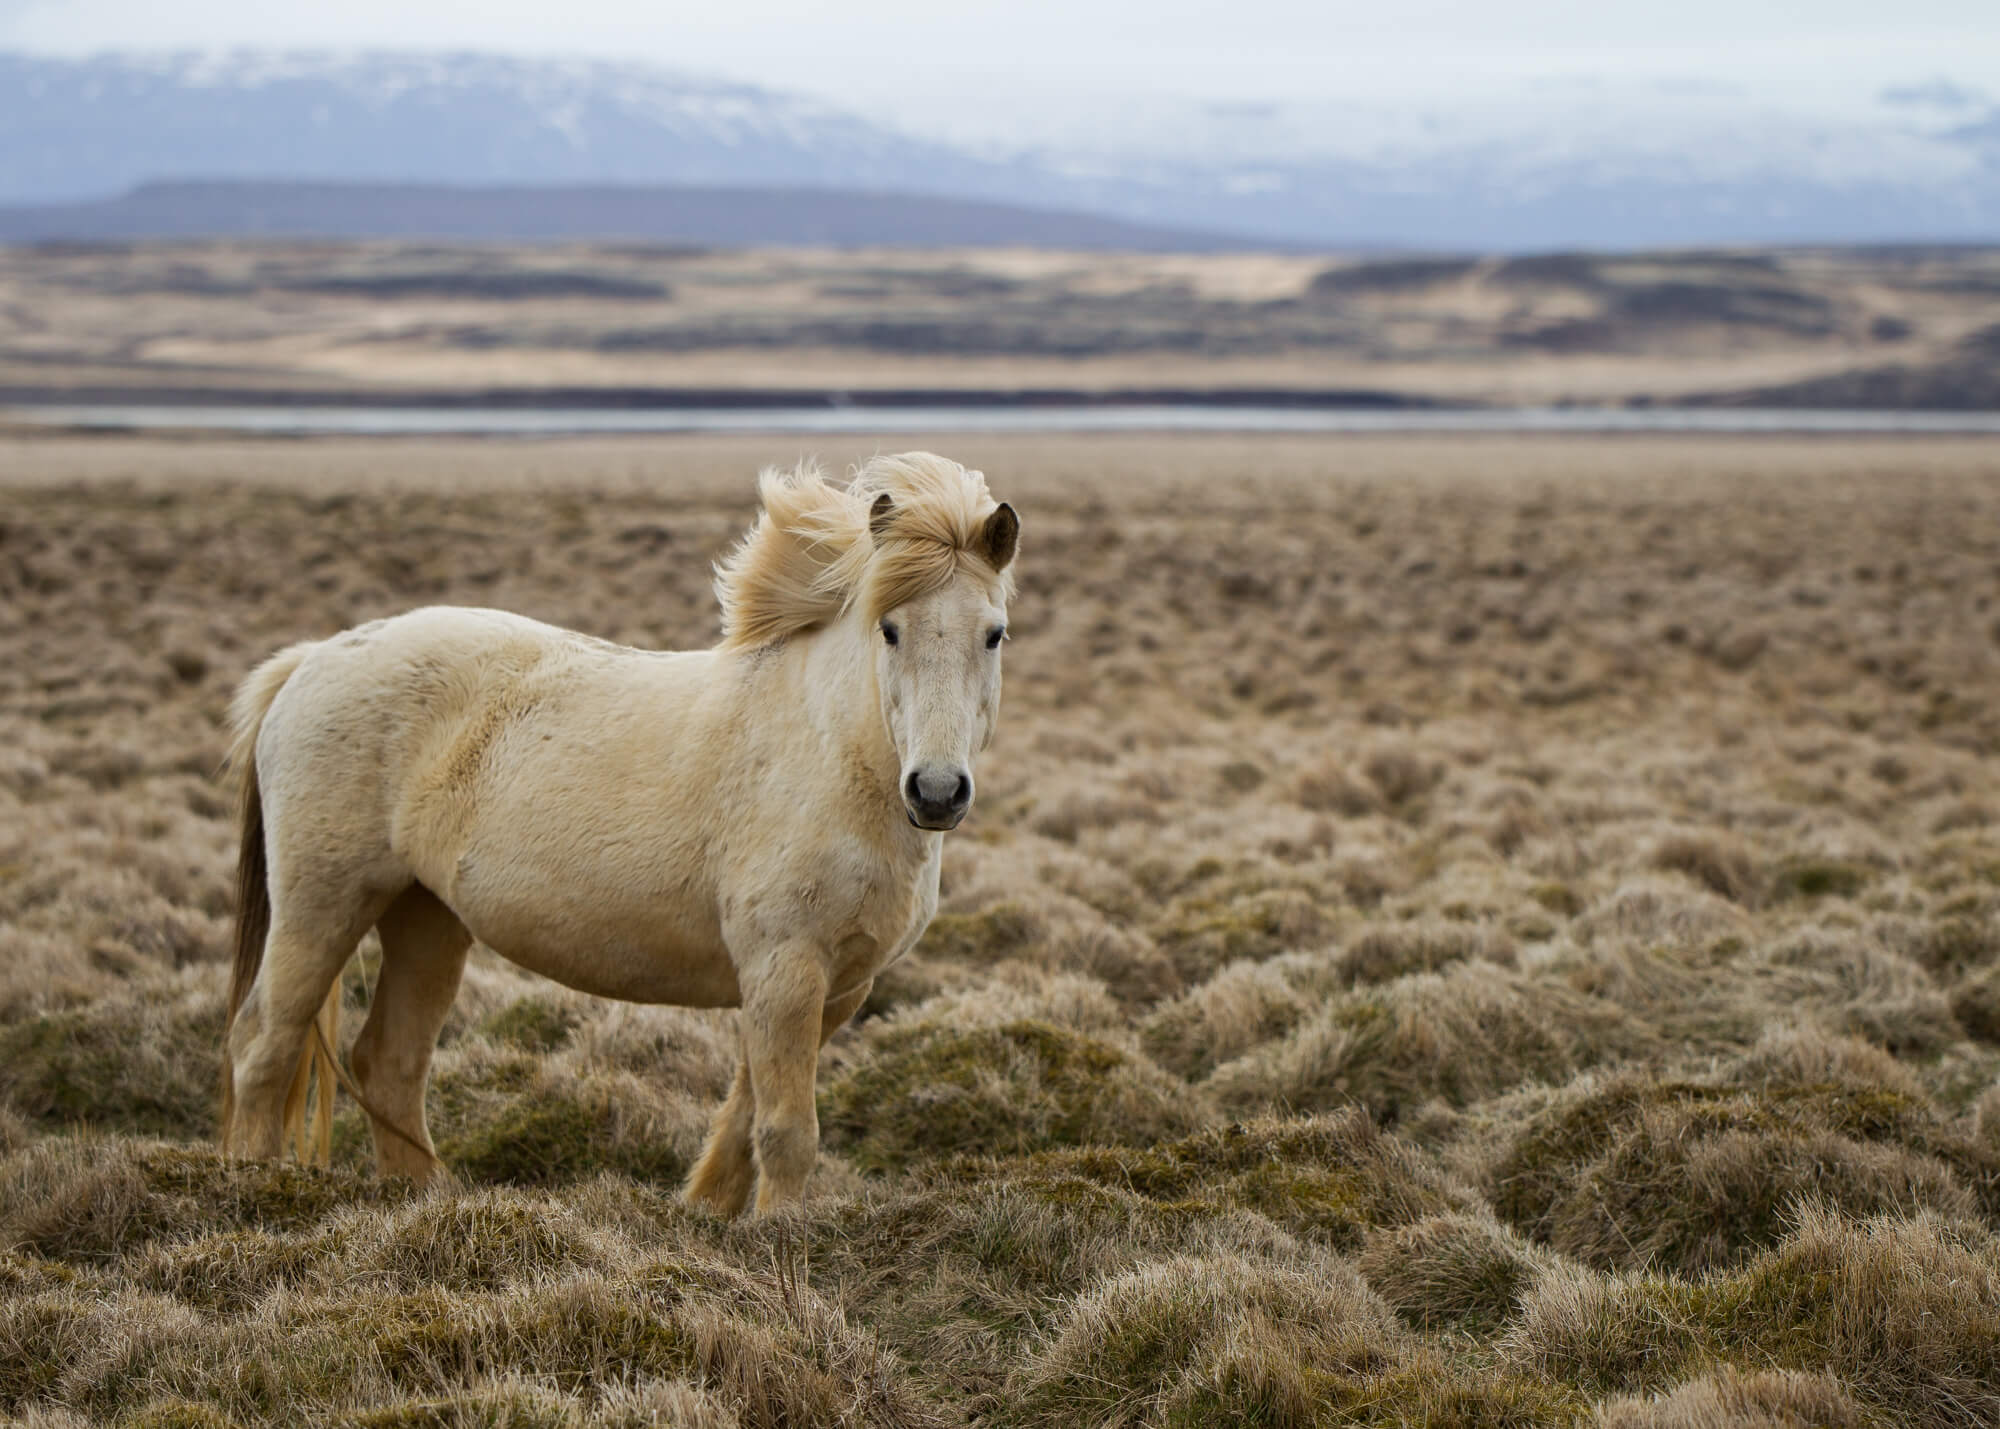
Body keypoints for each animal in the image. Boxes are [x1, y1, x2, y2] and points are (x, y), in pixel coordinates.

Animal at [217, 451, 1018, 1216]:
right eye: (890, 629)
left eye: (994, 634)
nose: (936, 792)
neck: (830, 750)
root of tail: (310, 660)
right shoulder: (786, 971)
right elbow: (786, 1130)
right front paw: (779, 1235)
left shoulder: (838, 988)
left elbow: (742, 1118)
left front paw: (709, 1216)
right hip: (321, 906)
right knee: (265, 1045)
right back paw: (256, 1189)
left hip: (426, 918)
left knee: (388, 1063)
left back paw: (425, 1202)